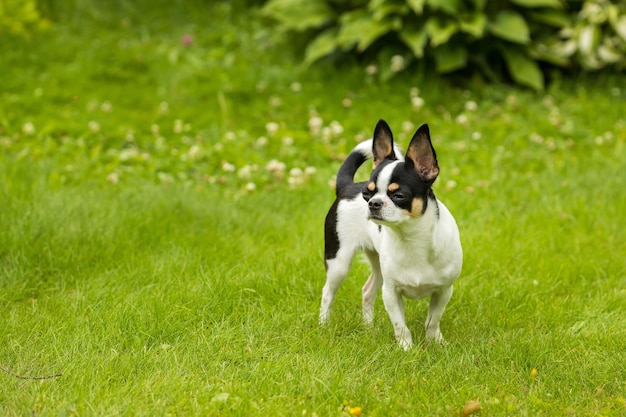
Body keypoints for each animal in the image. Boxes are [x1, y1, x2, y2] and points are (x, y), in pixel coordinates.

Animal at [320, 118, 460, 350]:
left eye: (399, 195)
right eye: (367, 194)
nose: (373, 203)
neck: (411, 238)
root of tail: (347, 187)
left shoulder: (444, 290)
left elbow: (433, 320)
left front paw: (435, 342)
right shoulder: (391, 292)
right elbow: (400, 325)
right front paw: (406, 349)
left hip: (377, 266)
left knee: (367, 291)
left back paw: (369, 328)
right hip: (339, 262)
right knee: (327, 293)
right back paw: (324, 325)